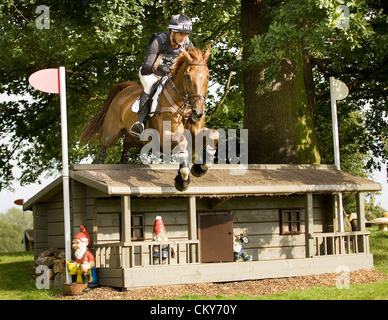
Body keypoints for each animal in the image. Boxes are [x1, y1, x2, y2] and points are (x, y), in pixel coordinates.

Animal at [79, 47, 218, 190]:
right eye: (187, 76)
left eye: (207, 76)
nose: (198, 112)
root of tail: (127, 89)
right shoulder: (165, 137)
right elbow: (182, 141)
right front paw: (183, 180)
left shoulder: (196, 132)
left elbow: (214, 134)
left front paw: (200, 168)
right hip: (112, 133)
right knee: (104, 143)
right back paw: (99, 165)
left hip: (138, 139)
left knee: (126, 143)